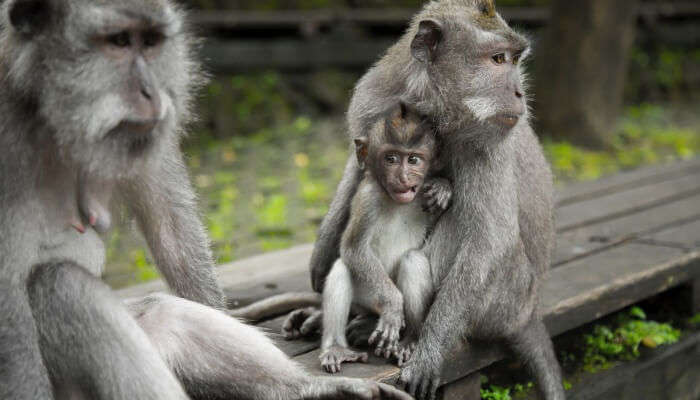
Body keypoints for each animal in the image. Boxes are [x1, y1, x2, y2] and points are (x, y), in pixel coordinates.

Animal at [0, 0, 410, 400]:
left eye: (150, 42)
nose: (152, 92)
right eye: (118, 41)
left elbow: (171, 229)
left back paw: (306, 389)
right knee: (62, 286)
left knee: (161, 313)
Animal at [282, 0, 568, 400]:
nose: (519, 95)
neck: (432, 109)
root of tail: (528, 313)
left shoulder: (490, 143)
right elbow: (357, 173)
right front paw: (320, 258)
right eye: (498, 59)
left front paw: (429, 348)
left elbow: (489, 241)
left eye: (514, 59)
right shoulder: (373, 102)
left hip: (502, 301)